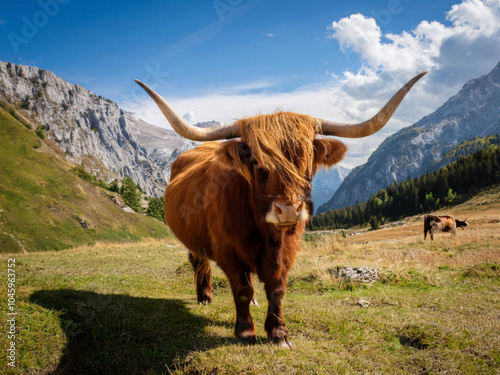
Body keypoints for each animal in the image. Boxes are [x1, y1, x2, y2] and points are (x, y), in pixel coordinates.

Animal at [135, 71, 428, 350]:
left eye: (307, 159)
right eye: (254, 160)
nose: (288, 210)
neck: (264, 231)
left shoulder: (288, 249)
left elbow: (276, 289)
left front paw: (278, 333)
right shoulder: (227, 250)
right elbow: (241, 288)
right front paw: (246, 331)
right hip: (194, 240)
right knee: (200, 263)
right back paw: (205, 297)